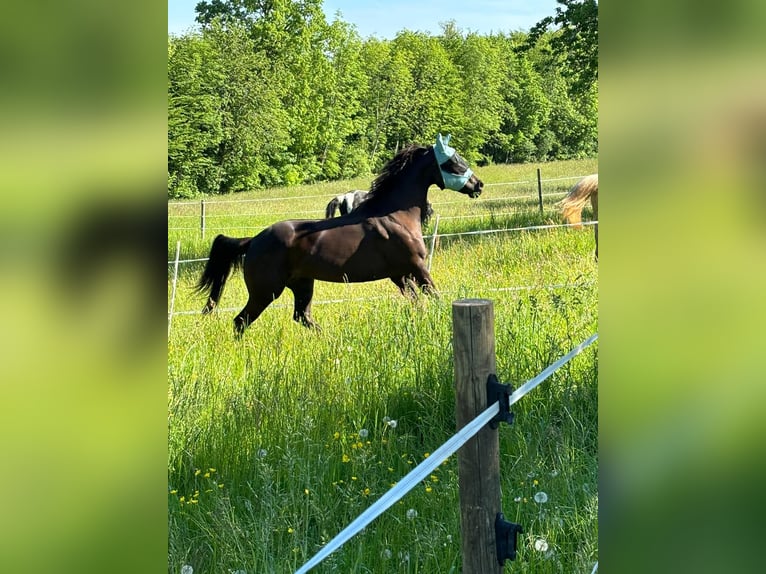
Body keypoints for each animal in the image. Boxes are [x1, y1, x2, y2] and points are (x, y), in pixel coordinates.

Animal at [196, 133, 483, 336]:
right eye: (452, 162)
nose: (478, 184)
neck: (396, 216)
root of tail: (253, 241)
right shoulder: (416, 267)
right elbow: (435, 297)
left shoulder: (399, 275)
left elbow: (419, 303)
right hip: (266, 292)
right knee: (241, 321)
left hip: (302, 285)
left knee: (302, 316)